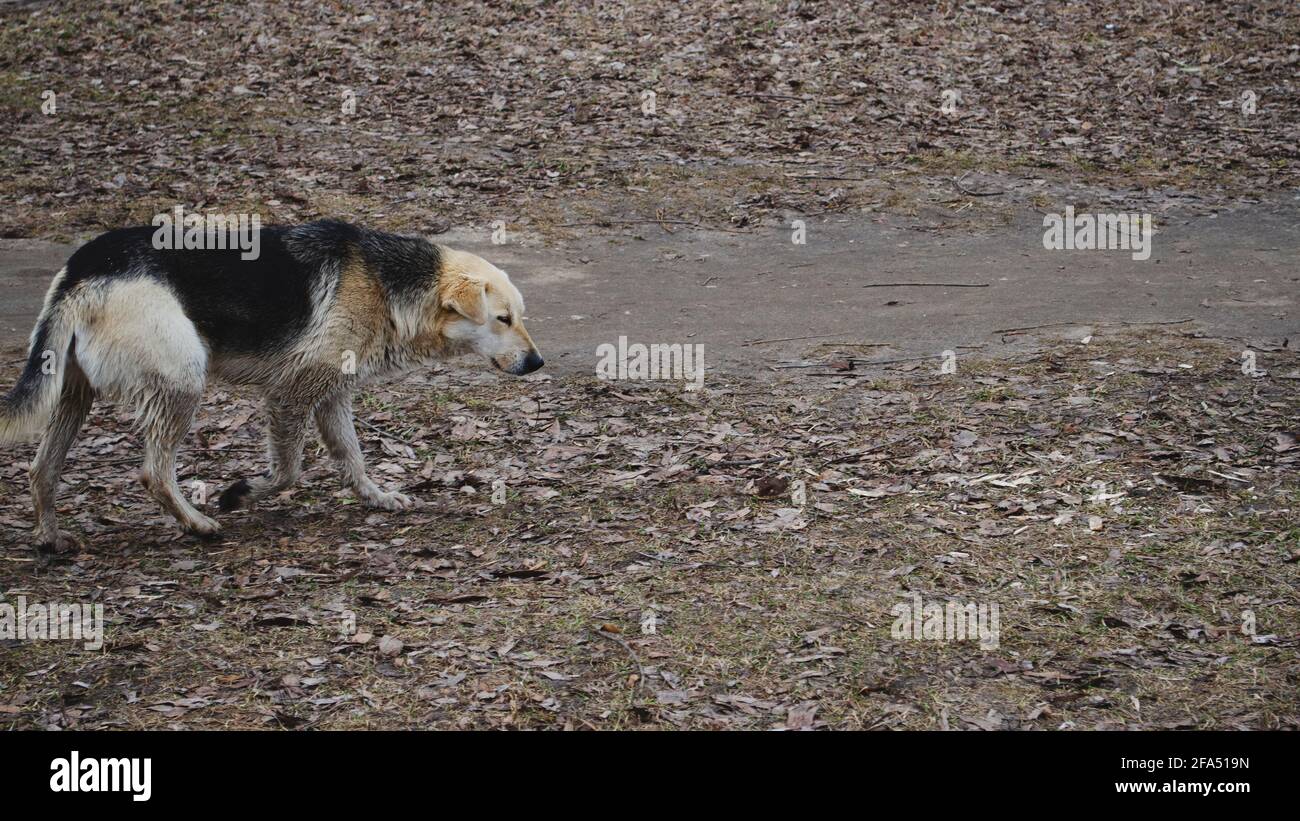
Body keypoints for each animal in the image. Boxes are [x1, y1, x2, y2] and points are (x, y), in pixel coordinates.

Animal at [0, 218, 540, 550]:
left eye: (521, 316)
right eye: (503, 318)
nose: (537, 362)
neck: (389, 286)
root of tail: (83, 269)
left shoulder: (332, 396)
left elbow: (353, 458)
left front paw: (377, 497)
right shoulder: (290, 396)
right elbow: (288, 473)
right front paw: (239, 495)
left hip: (73, 396)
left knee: (41, 469)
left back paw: (50, 538)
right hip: (183, 381)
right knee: (154, 473)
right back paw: (197, 523)